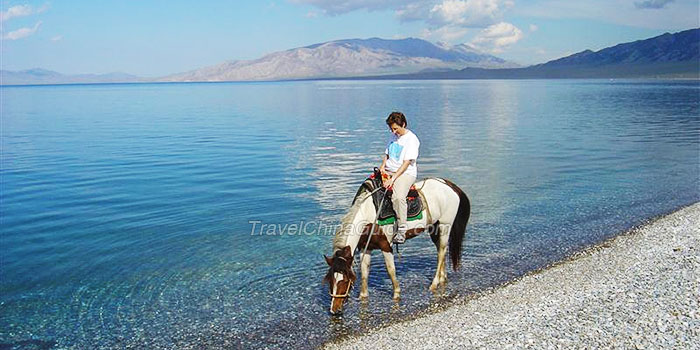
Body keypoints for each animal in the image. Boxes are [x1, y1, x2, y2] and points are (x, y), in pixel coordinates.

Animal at [324, 176, 470, 316]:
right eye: (331, 280)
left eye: (344, 281)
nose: (334, 310)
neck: (369, 214)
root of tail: (450, 186)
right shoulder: (366, 247)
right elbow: (365, 271)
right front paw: (363, 297)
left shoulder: (385, 246)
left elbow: (390, 270)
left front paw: (396, 294)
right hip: (435, 227)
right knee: (441, 250)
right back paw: (442, 278)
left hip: (445, 225)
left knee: (442, 251)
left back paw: (434, 284)